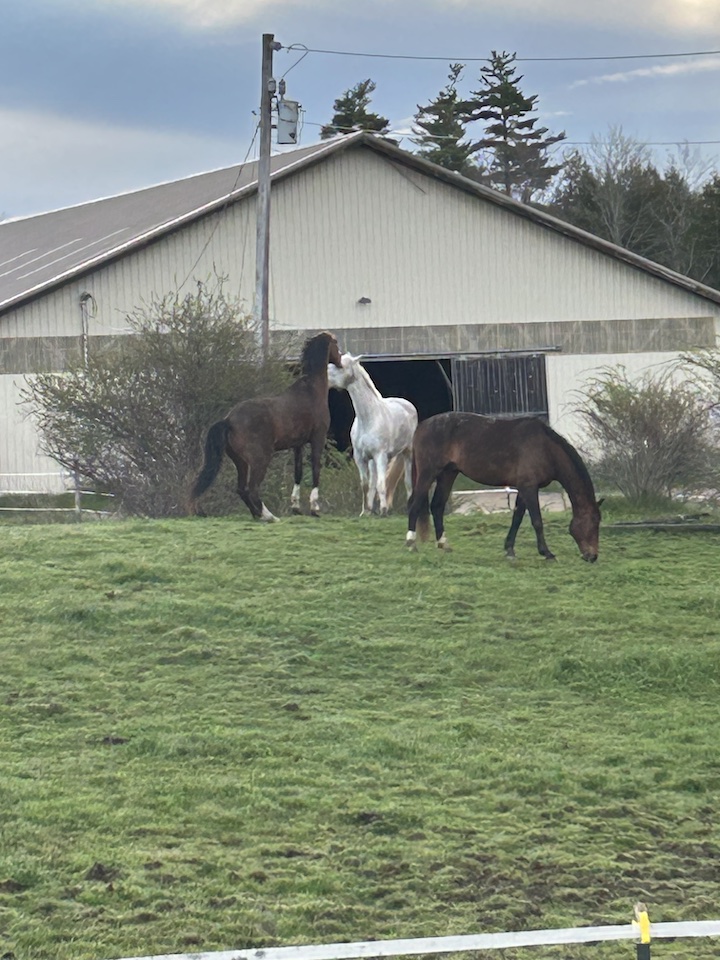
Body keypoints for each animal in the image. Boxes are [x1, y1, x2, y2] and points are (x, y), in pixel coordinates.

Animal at [189, 331, 342, 521]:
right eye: (336, 343)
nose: (341, 361)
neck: (311, 391)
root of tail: (228, 420)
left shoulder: (298, 445)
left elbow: (298, 472)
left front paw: (296, 507)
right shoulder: (318, 438)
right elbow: (315, 468)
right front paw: (315, 509)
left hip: (241, 462)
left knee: (242, 489)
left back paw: (259, 515)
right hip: (260, 460)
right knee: (252, 489)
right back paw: (270, 517)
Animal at [328, 353, 418, 515]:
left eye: (340, 366)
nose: (324, 377)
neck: (368, 418)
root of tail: (407, 404)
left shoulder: (380, 456)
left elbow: (382, 484)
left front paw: (383, 510)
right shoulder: (360, 457)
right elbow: (366, 485)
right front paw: (366, 511)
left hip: (407, 453)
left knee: (407, 482)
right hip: (374, 461)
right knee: (375, 481)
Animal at [406, 412, 602, 561]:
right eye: (593, 523)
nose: (592, 556)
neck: (545, 448)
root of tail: (422, 426)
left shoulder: (524, 489)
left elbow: (517, 518)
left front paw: (509, 550)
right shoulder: (529, 488)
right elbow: (537, 521)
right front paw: (546, 552)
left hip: (448, 474)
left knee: (437, 506)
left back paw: (443, 544)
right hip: (428, 473)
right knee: (414, 505)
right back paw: (411, 544)